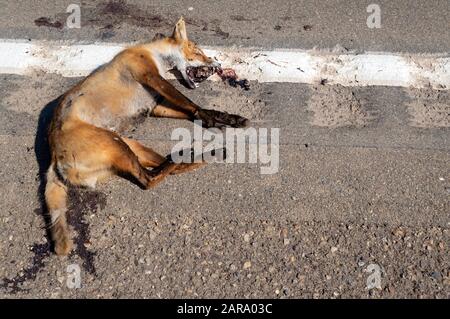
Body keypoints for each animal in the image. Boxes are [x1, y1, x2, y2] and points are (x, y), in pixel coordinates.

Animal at [45, 18, 248, 258]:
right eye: (198, 51)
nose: (217, 62)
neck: (151, 52)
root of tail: (53, 156)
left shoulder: (154, 105)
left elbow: (193, 110)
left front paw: (225, 117)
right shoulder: (150, 76)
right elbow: (191, 104)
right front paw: (209, 118)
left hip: (130, 146)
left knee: (167, 168)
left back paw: (205, 155)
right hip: (116, 144)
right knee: (150, 179)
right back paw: (185, 155)